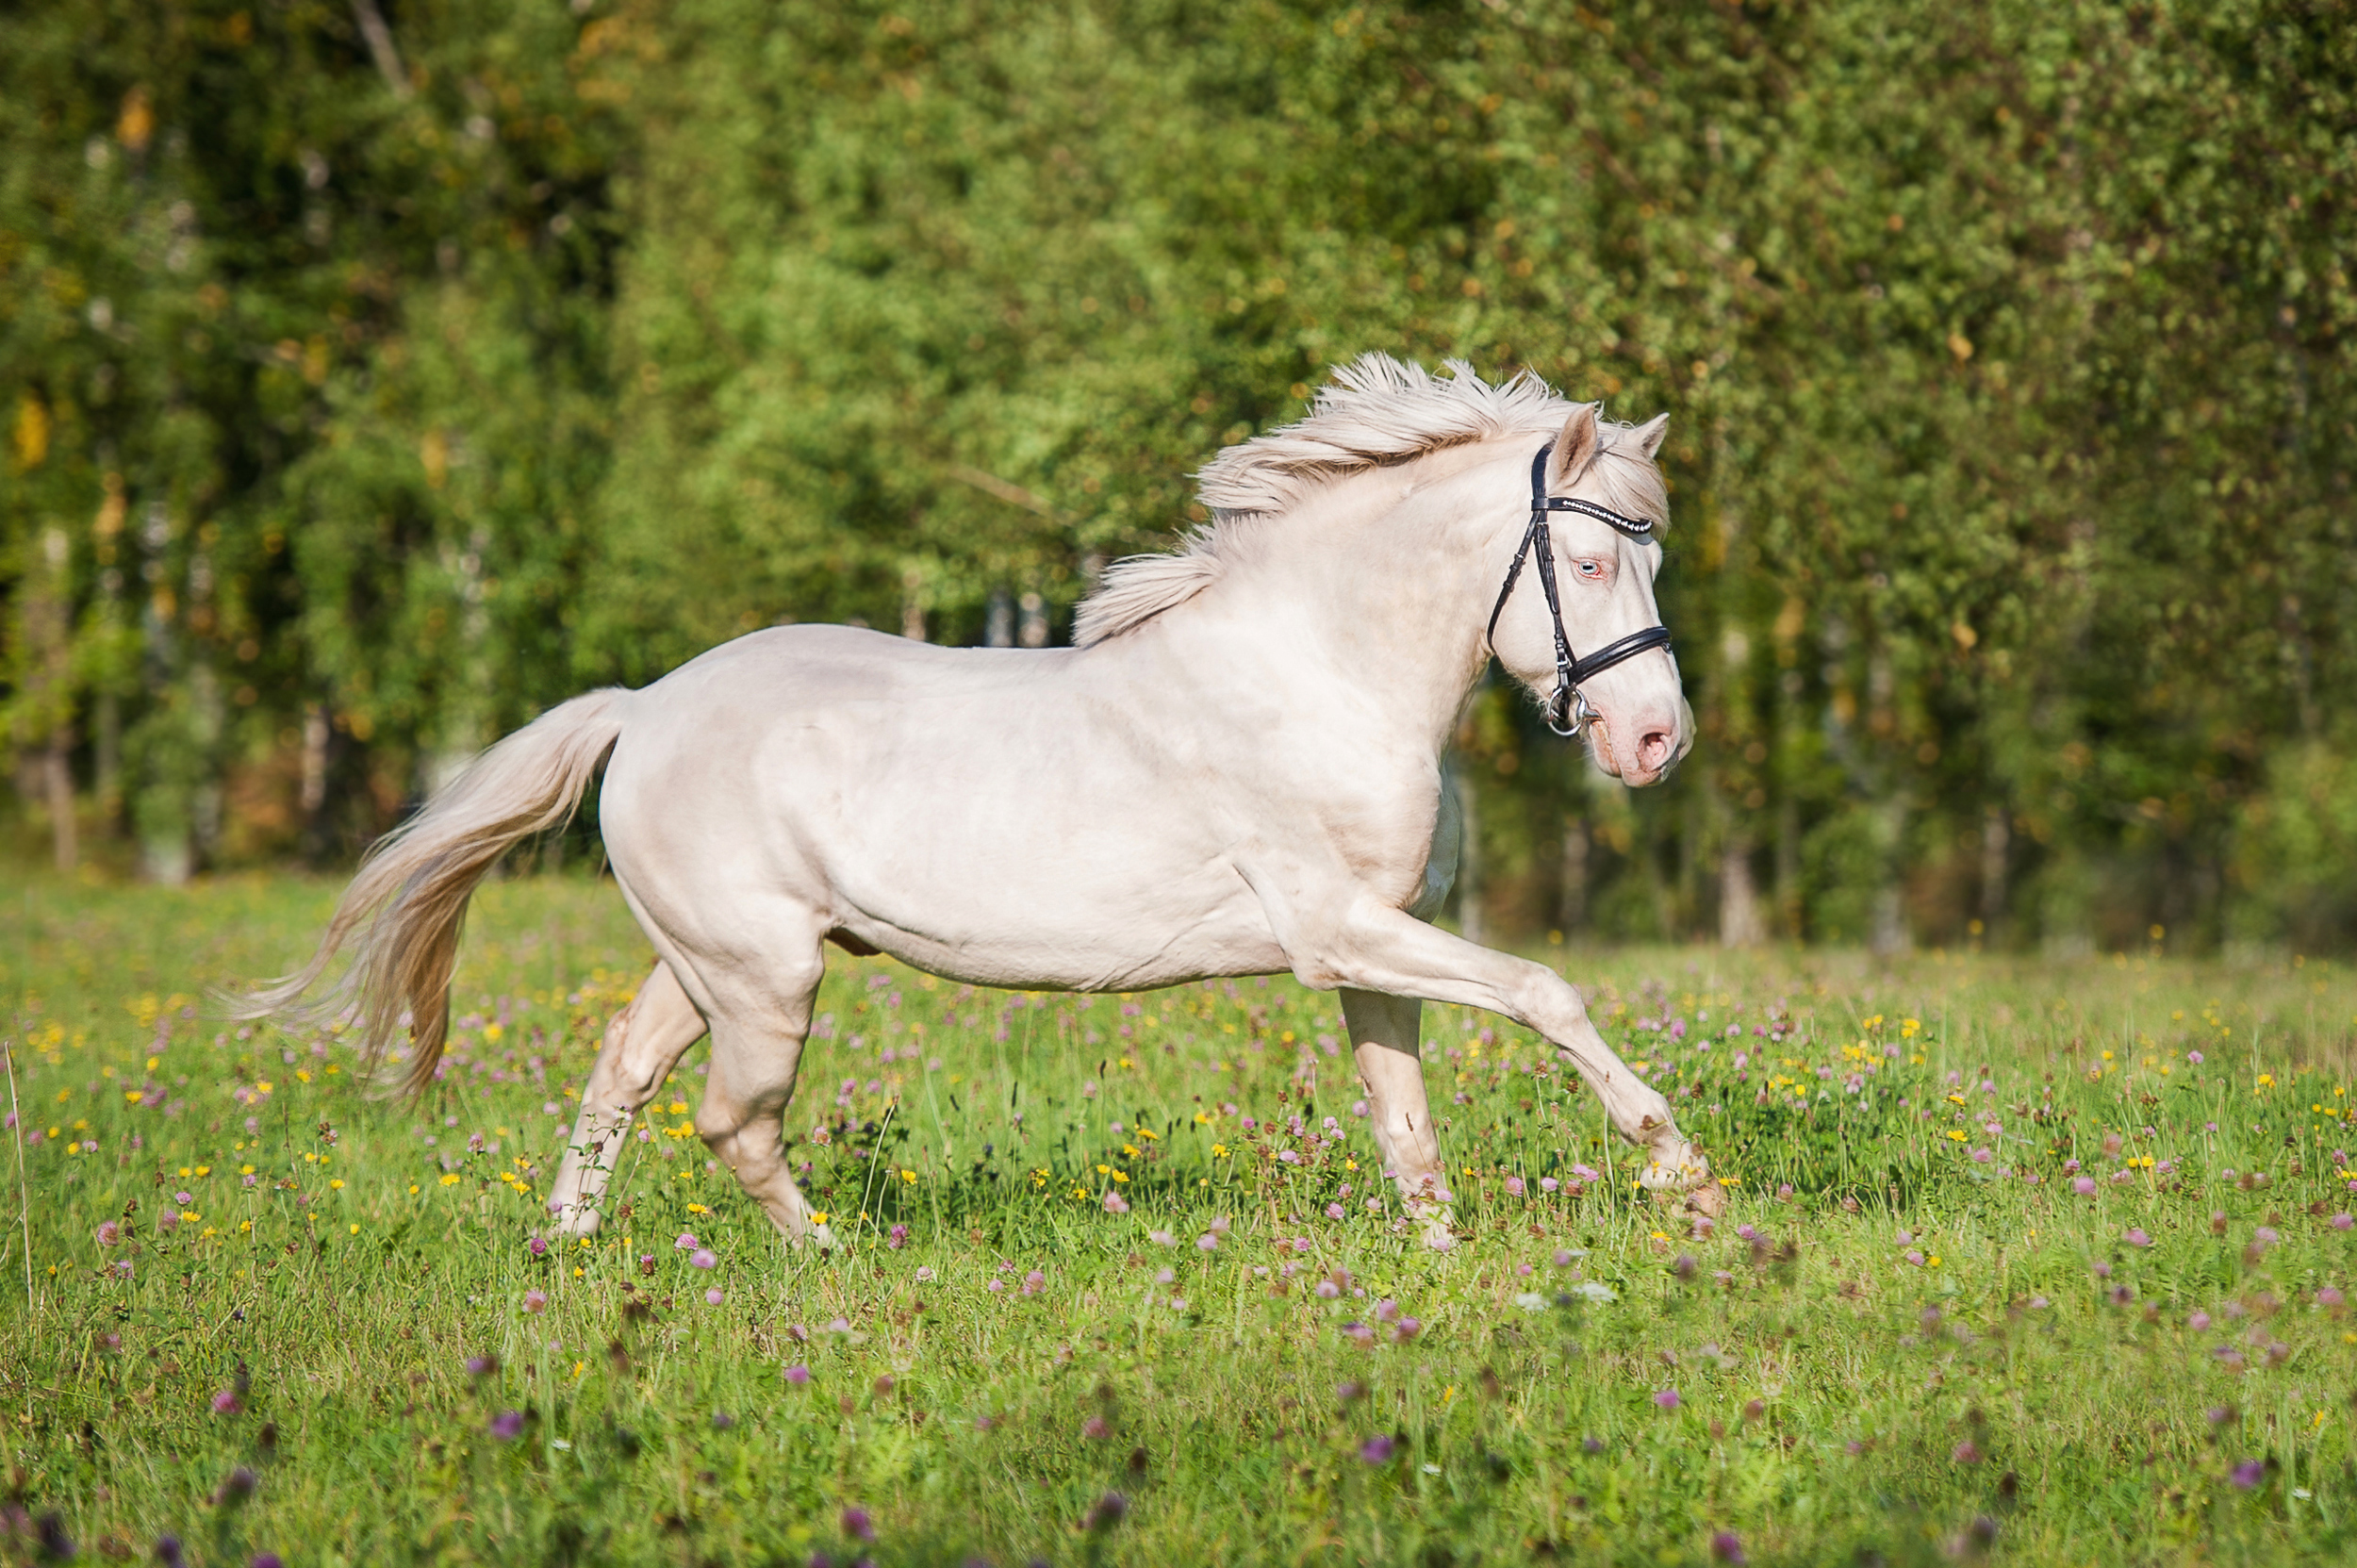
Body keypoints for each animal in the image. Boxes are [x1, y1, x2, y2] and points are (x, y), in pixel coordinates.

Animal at [257, 354, 1725, 1245]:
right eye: (1591, 560)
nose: (1658, 740)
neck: (1317, 672)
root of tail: (642, 707)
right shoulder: (1334, 929)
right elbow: (1548, 991)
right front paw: (1682, 1173)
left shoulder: (1371, 945)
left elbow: (1404, 1118)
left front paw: (1439, 1260)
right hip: (768, 977)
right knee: (733, 1121)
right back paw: (834, 1260)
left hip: (710, 965)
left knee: (622, 1069)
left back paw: (564, 1251)